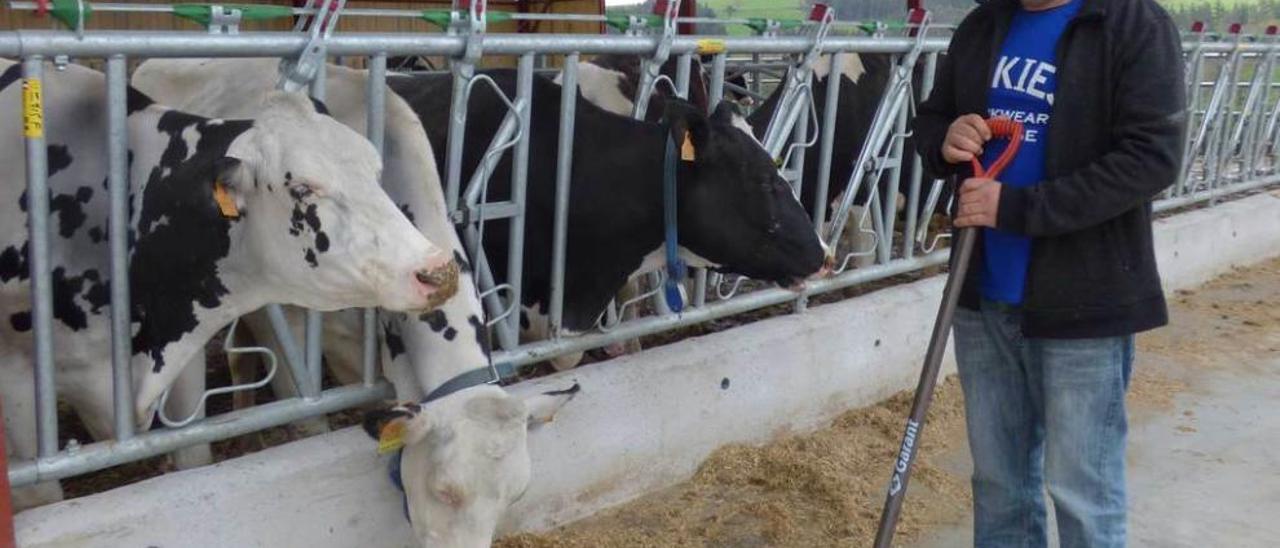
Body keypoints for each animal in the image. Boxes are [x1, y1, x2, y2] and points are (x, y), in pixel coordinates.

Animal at [0, 57, 460, 507]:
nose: (437, 270)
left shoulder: (183, 343)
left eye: (375, 171)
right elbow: (41, 494)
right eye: (301, 187)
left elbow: (194, 457)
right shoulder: (16, 384)